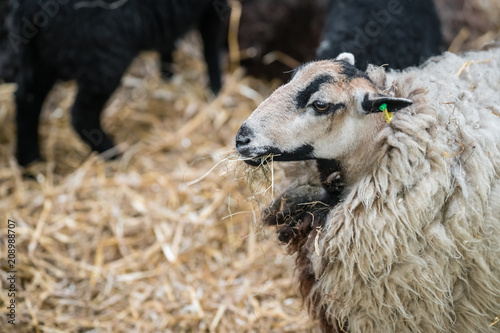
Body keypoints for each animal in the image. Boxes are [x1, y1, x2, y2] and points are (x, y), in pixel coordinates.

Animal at [5, 0, 229, 166]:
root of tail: (27, 8)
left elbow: (169, 43)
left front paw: (168, 75)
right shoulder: (213, 5)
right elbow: (211, 44)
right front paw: (216, 89)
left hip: (40, 57)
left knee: (27, 102)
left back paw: (30, 164)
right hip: (104, 56)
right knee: (81, 116)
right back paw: (113, 154)